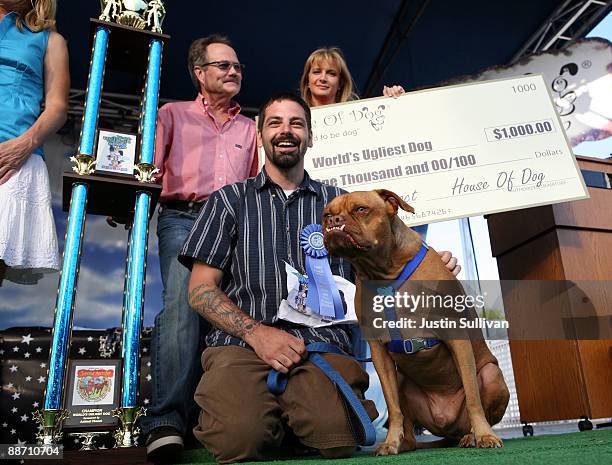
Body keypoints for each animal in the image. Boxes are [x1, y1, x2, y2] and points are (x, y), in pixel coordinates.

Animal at [322, 188, 510, 454]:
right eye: (327, 214)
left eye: (360, 209)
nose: (334, 221)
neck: (385, 275)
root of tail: (447, 427)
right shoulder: (380, 353)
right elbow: (393, 407)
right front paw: (391, 442)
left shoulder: (457, 336)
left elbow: (473, 396)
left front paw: (485, 435)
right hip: (402, 380)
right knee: (408, 425)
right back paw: (405, 444)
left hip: (492, 375)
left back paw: (471, 436)